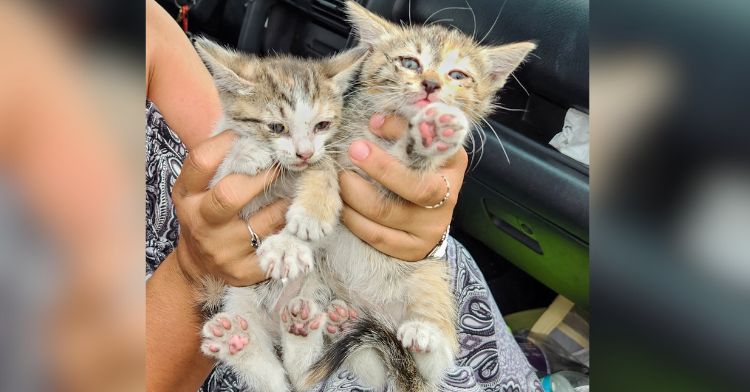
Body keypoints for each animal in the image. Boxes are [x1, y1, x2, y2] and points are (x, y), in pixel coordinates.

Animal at [194, 37, 368, 392]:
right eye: (276, 127)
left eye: (322, 125)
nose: (303, 152)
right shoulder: (215, 180)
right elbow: (225, 168)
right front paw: (247, 151)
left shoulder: (325, 154)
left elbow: (324, 167)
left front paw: (300, 229)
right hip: (239, 300)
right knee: (273, 379)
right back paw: (237, 342)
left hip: (315, 286)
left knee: (301, 374)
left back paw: (305, 327)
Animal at [300, 1, 540, 390]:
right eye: (410, 63)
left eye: (458, 75)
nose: (431, 84)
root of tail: (368, 307)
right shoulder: (332, 140)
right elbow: (318, 166)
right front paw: (311, 211)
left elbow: (412, 161)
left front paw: (429, 137)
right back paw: (338, 317)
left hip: (430, 279)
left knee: (434, 358)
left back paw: (423, 333)